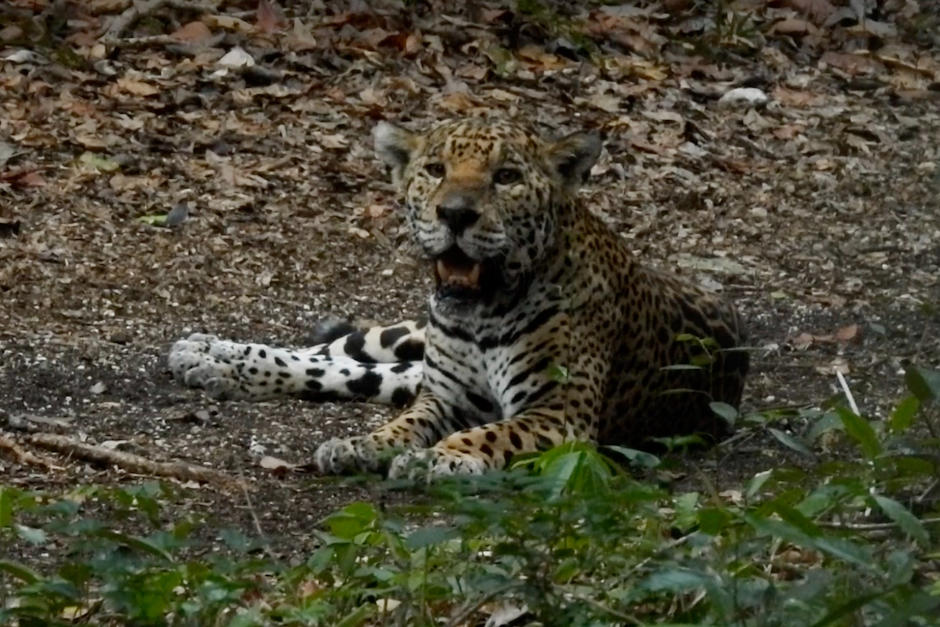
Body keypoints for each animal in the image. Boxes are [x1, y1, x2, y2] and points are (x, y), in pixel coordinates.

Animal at [169, 118, 749, 479]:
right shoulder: (442, 396)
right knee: (335, 354)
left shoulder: (558, 414)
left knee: (356, 372)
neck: (483, 317)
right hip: (409, 337)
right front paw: (364, 446)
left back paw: (217, 365)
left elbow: (488, 436)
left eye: (506, 177)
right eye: (435, 170)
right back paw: (211, 354)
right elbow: (401, 425)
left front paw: (436, 460)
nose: (455, 214)